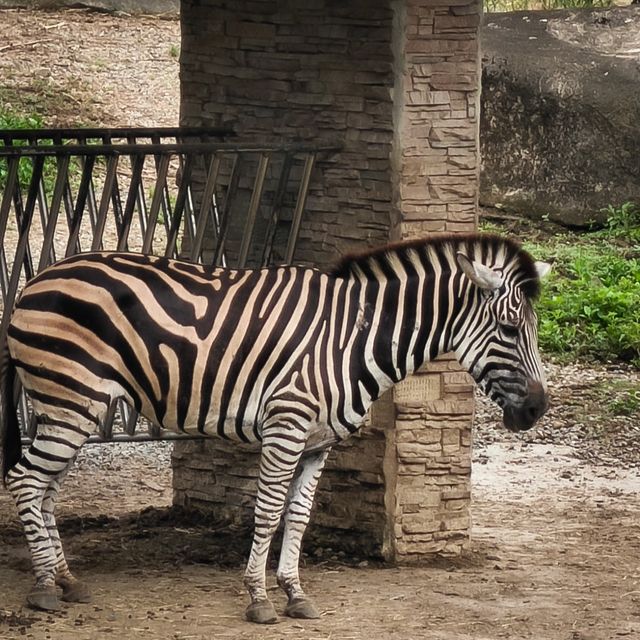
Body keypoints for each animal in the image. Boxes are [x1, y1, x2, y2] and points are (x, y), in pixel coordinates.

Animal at [0, 232, 552, 624]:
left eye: (533, 329)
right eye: (508, 329)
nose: (537, 410)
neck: (355, 337)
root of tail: (36, 281)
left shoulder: (319, 442)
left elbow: (300, 517)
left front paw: (294, 592)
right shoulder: (286, 424)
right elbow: (267, 512)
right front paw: (258, 597)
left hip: (72, 406)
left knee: (46, 490)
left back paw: (67, 580)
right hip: (70, 400)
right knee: (26, 482)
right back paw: (45, 588)